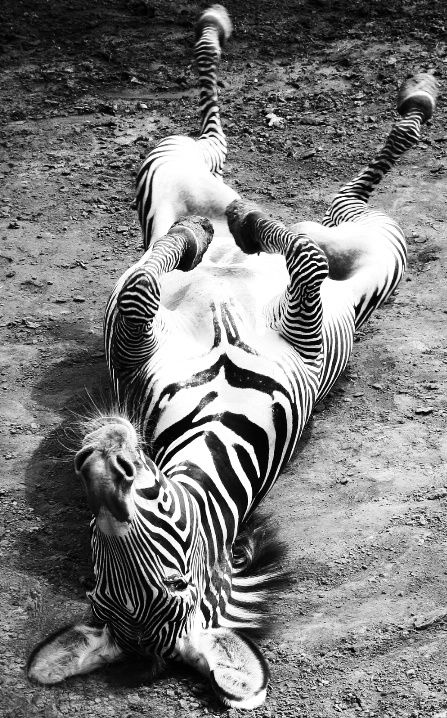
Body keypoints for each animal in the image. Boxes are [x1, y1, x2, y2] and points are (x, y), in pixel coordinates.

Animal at [27, 4, 439, 710]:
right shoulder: (145, 343)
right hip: (196, 179)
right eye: (100, 554)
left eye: (170, 574)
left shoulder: (297, 332)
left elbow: (291, 261)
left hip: (333, 230)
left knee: (312, 203)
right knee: (305, 197)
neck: (215, 412)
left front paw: (217, 236)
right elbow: (155, 286)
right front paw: (207, 238)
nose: (103, 453)